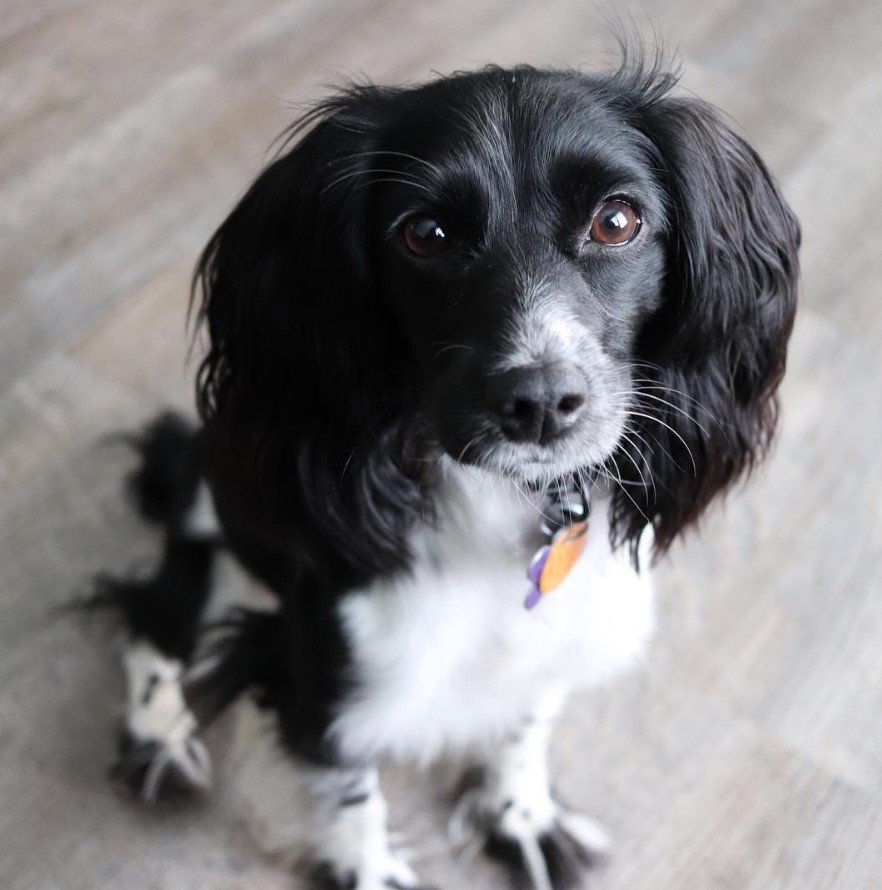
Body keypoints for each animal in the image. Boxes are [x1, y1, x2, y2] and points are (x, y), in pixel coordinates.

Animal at [94, 50, 796, 888]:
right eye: (424, 235)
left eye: (617, 220)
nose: (539, 401)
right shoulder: (321, 678)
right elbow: (351, 793)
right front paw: (370, 865)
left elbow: (524, 721)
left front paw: (521, 815)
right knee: (157, 607)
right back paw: (160, 733)